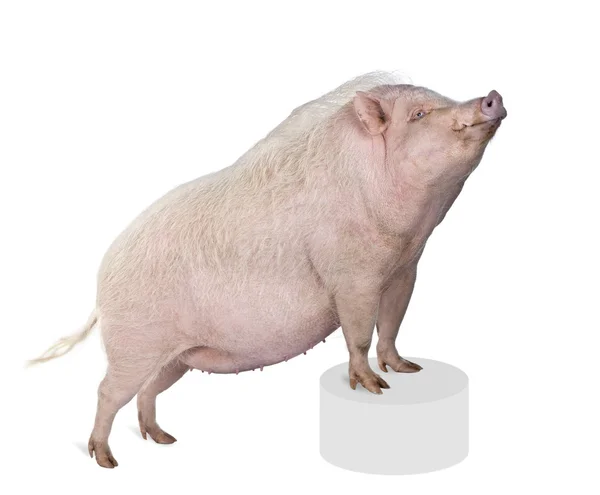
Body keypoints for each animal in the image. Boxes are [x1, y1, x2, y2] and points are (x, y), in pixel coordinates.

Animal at [28, 70, 506, 468]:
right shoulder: (351, 276)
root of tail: (101, 288)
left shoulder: (405, 270)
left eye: (440, 99)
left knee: (147, 390)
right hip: (134, 344)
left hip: (174, 358)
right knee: (107, 392)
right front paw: (374, 387)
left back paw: (163, 439)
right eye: (419, 114)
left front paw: (407, 370)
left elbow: (391, 325)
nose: (492, 96)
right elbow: (358, 333)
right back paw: (107, 461)